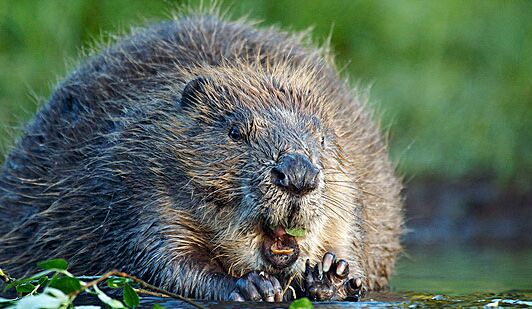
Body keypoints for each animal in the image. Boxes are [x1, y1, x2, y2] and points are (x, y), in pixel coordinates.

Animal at [0, 9, 402, 300]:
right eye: (236, 132)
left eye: (320, 137)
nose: (298, 174)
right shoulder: (140, 181)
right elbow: (162, 259)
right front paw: (250, 286)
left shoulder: (350, 192)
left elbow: (350, 241)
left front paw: (333, 274)